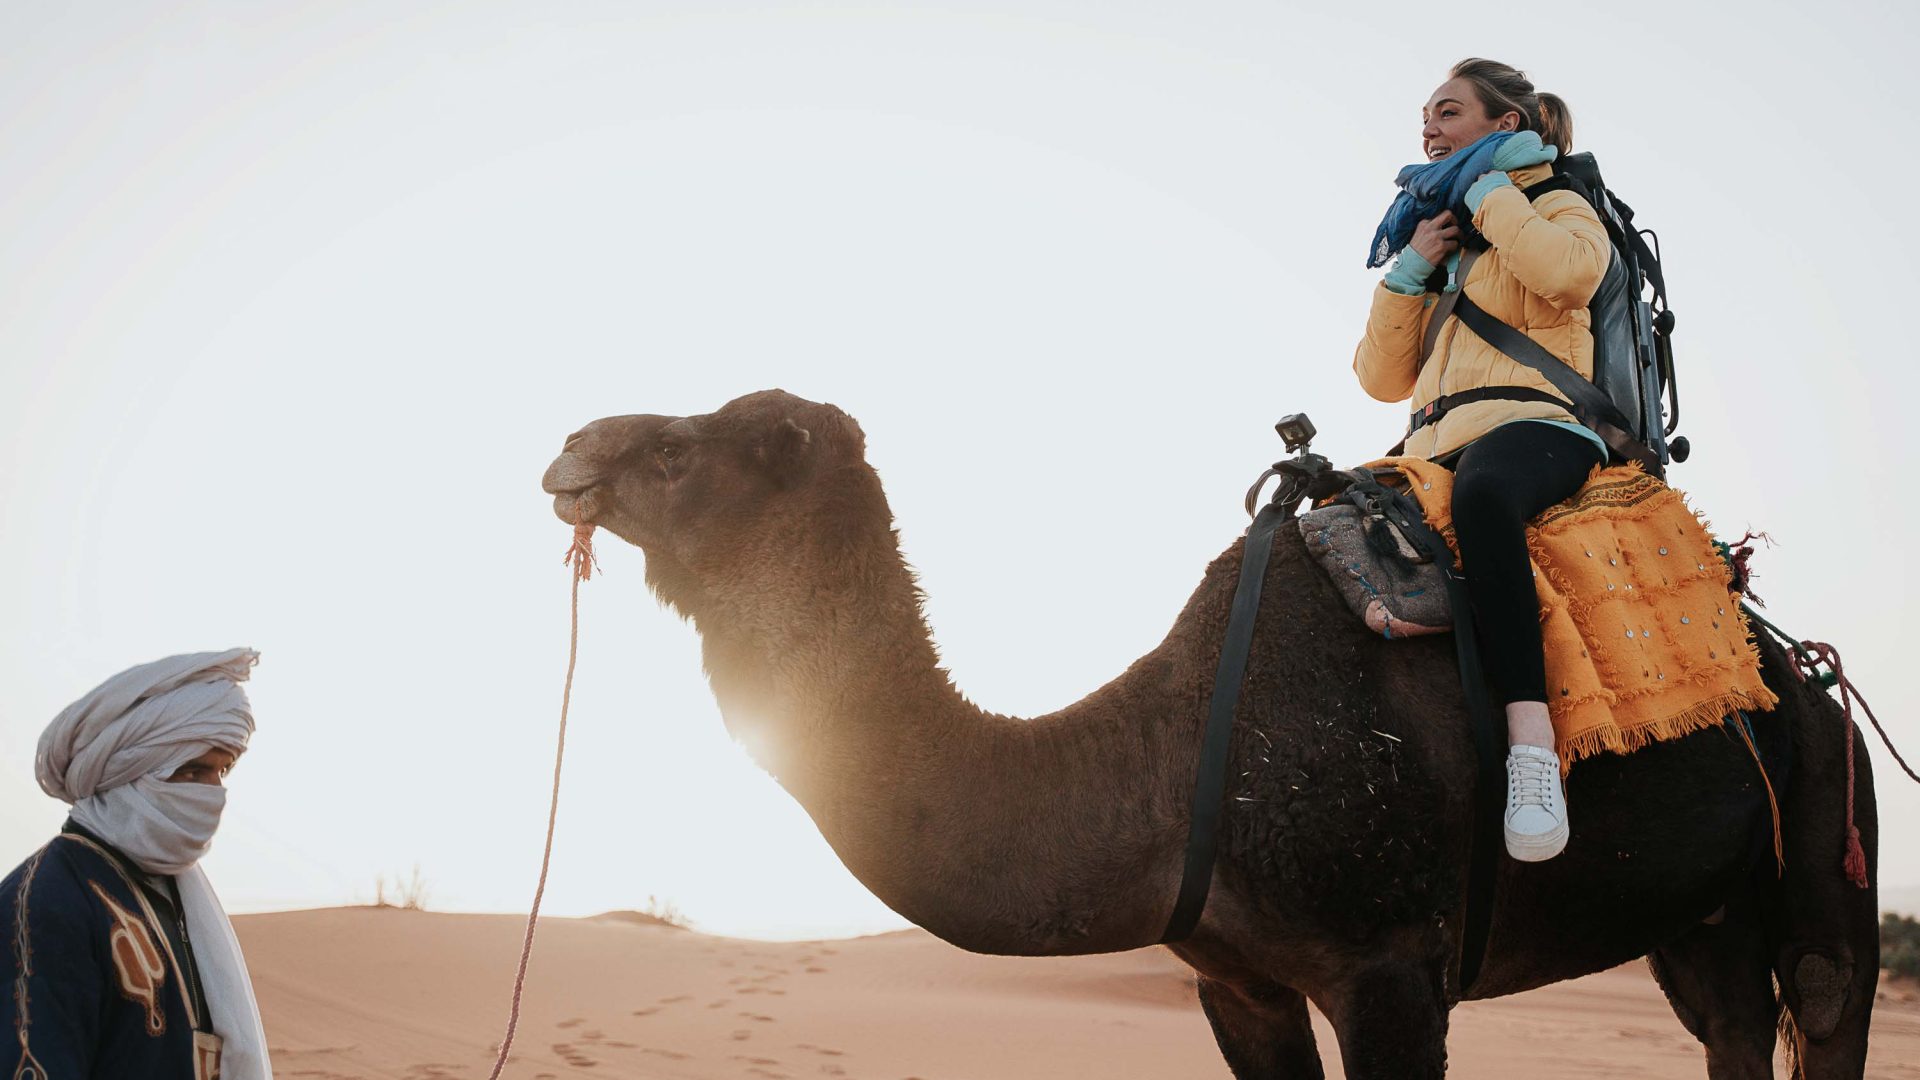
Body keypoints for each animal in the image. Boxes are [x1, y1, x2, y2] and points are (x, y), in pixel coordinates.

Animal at [537, 388, 1873, 1076]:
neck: (1173, 769)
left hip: (1832, 814)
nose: (569, 449)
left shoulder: (1393, 969)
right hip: (1696, 922)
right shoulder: (1241, 984)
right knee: (1733, 1019)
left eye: (677, 451)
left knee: (1822, 993)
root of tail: (1801, 671)